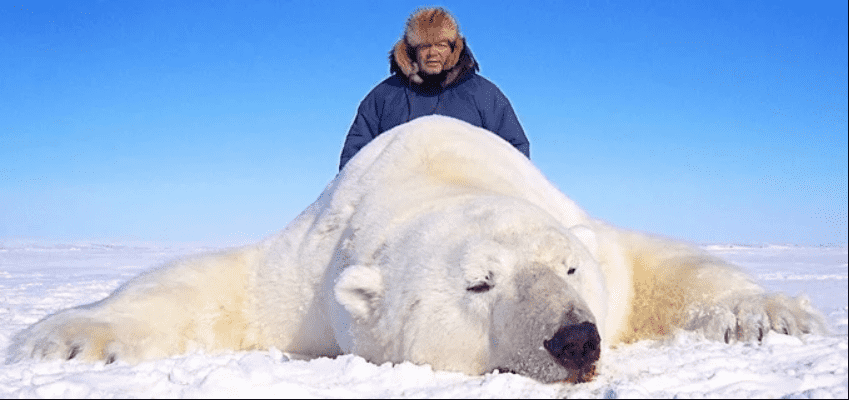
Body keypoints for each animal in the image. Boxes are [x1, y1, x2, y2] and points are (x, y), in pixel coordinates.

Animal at [6, 115, 824, 382]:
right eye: (479, 284)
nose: (575, 339)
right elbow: (213, 286)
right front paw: (64, 338)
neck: (437, 173)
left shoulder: (597, 247)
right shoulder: (305, 271)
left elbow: (661, 264)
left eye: (568, 267)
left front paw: (771, 316)